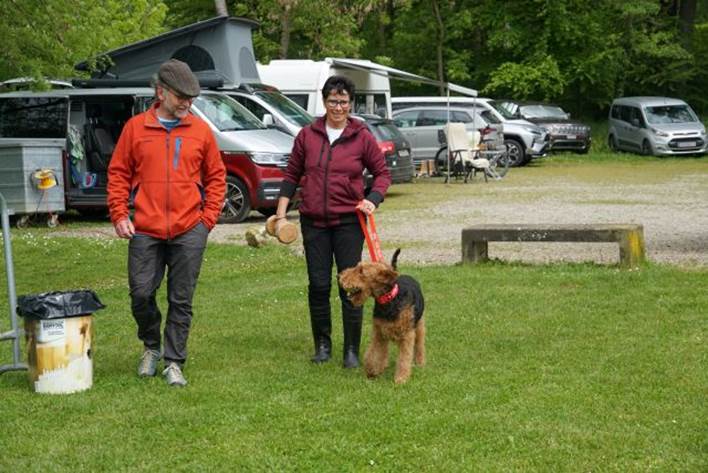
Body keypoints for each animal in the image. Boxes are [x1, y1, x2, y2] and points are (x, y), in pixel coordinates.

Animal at [338, 247, 426, 384]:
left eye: (361, 271)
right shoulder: (378, 333)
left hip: (419, 325)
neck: (390, 300)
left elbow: (404, 358)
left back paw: (420, 362)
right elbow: (373, 353)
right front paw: (371, 370)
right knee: (384, 351)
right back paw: (383, 365)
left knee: (420, 344)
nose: (339, 276)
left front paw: (401, 378)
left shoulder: (407, 335)